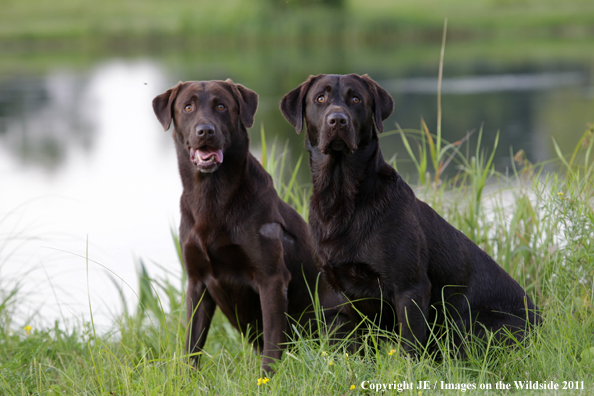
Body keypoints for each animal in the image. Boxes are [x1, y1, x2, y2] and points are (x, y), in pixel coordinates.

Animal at [151, 79, 346, 372]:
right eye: (188, 107)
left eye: (221, 106)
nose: (205, 130)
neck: (211, 198)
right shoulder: (196, 282)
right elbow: (192, 344)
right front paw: (188, 379)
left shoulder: (271, 279)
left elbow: (272, 342)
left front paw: (267, 378)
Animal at [280, 74, 540, 356]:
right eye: (320, 98)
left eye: (356, 99)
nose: (337, 120)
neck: (342, 200)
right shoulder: (341, 293)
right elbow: (355, 347)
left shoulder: (410, 288)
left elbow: (410, 347)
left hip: (468, 325)